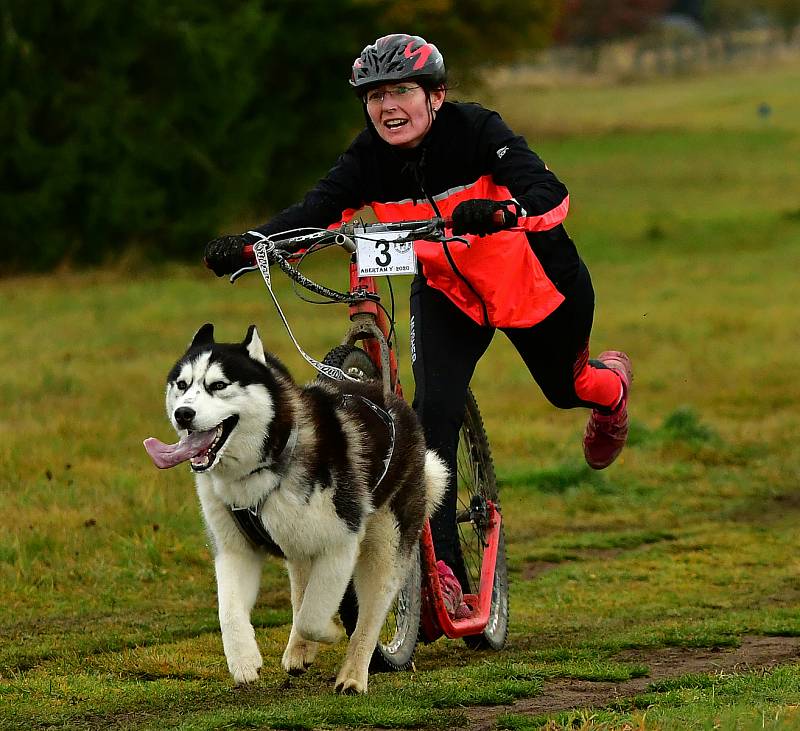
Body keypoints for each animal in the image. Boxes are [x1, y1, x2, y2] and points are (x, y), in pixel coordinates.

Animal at [144, 324, 444, 692]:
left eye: (219, 385)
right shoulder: (234, 548)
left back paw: (352, 675)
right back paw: (299, 651)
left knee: (369, 614)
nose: (183, 414)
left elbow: (312, 616)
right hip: (299, 541)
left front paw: (328, 631)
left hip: (385, 544)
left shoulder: (341, 542)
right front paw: (244, 660)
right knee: (303, 586)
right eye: (182, 385)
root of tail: (388, 395)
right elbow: (229, 610)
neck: (261, 469)